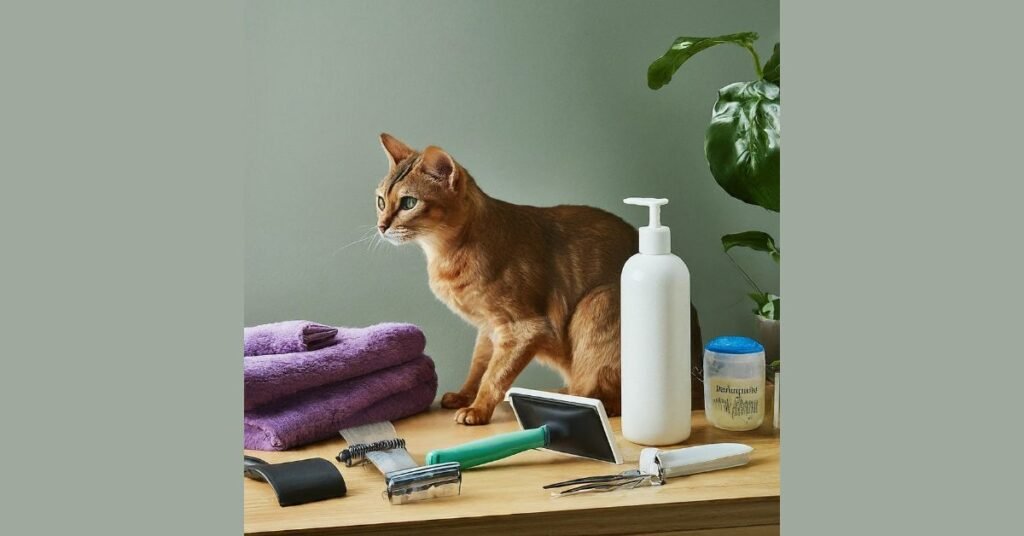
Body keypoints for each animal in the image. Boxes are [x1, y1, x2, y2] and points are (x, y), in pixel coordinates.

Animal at [376, 135, 704, 428]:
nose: (381, 226)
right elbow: (479, 366)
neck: (446, 255)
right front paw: (463, 395)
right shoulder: (489, 328)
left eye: (409, 202)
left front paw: (478, 410)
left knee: (606, 395)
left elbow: (494, 376)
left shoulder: (523, 328)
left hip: (597, 303)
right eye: (380, 201)